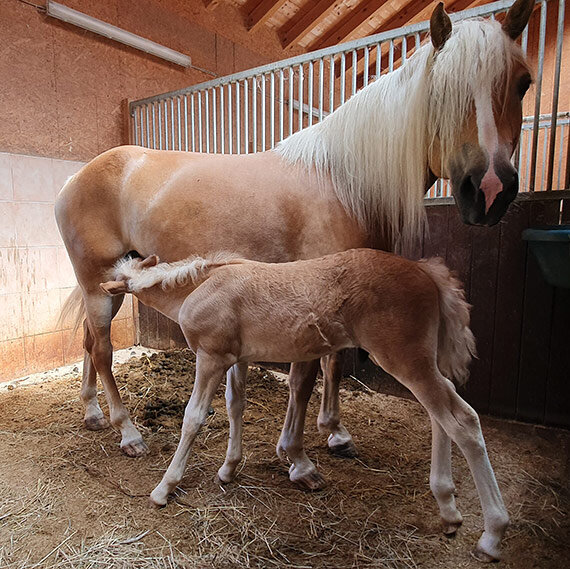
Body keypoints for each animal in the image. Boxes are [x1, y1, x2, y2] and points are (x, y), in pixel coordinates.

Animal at [55, 1, 532, 496]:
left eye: (523, 82)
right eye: (442, 91)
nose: (491, 190)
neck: (343, 181)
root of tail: (77, 176)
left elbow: (333, 363)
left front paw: (335, 432)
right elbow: (304, 376)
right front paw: (297, 457)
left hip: (109, 284)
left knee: (90, 342)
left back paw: (93, 413)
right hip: (98, 283)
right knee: (104, 350)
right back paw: (127, 432)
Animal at [100, 250, 508, 560]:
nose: (101, 308)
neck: (200, 288)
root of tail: (427, 272)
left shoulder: (211, 357)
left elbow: (194, 417)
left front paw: (164, 488)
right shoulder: (237, 358)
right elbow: (235, 404)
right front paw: (228, 469)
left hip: (406, 359)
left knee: (462, 420)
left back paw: (492, 534)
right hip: (423, 361)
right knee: (441, 416)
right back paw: (449, 510)